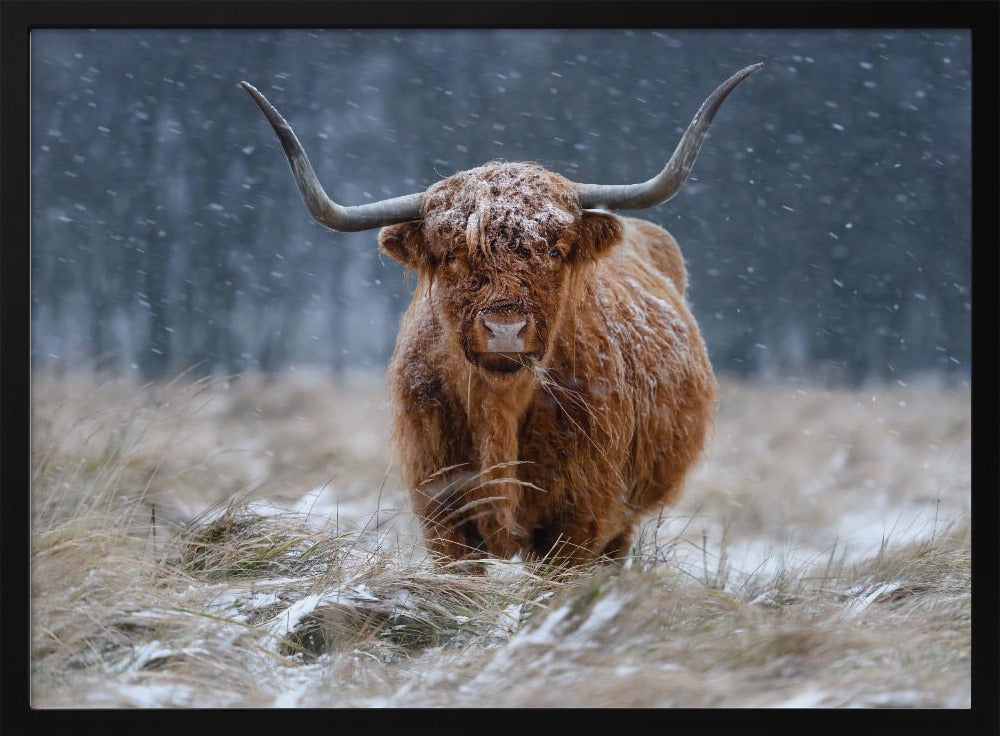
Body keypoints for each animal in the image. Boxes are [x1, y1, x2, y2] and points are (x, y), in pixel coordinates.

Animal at [241, 62, 761, 566]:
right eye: (452, 254)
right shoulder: (442, 512)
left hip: (624, 519)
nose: (505, 329)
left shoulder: (580, 518)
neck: (500, 411)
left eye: (553, 250)